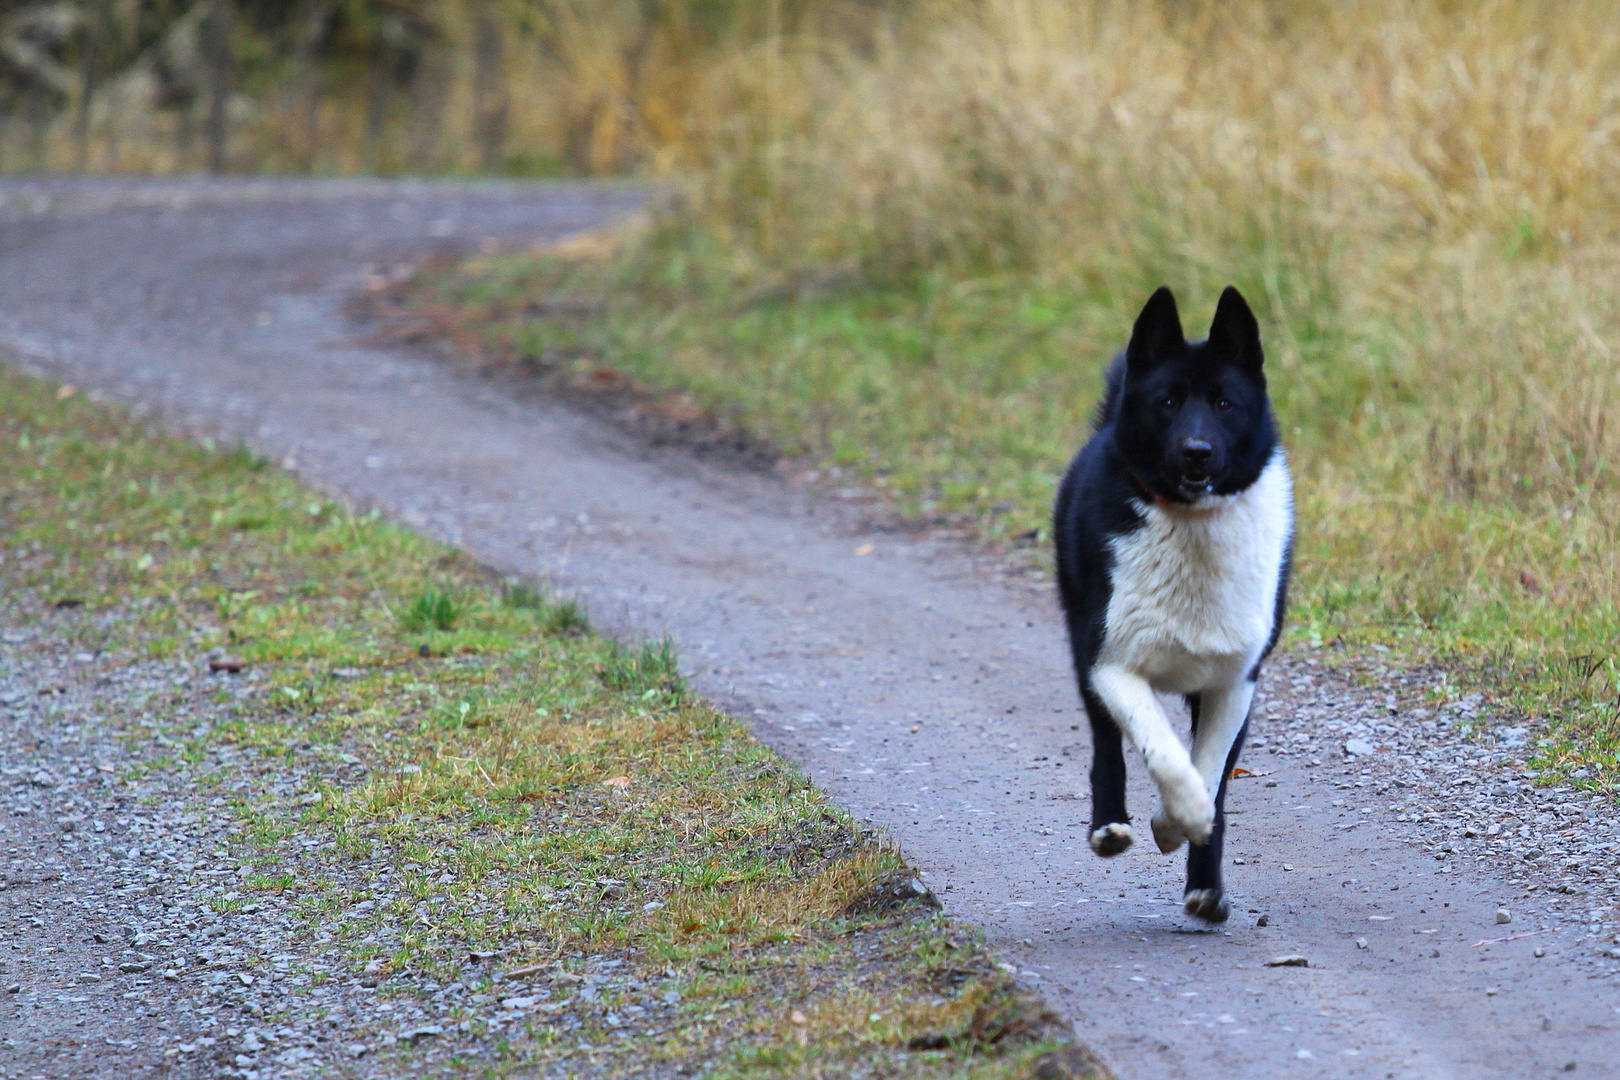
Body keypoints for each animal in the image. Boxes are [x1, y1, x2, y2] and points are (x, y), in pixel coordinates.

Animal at [1049, 284, 1289, 919]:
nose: (1197, 452)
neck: (1193, 525)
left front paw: (1188, 835)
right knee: (1107, 748)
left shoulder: (1234, 682)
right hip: (1084, 651)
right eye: (1167, 402)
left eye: (1226, 403)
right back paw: (1110, 828)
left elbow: (1210, 771)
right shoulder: (1113, 664)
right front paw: (1175, 819)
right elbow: (1163, 752)